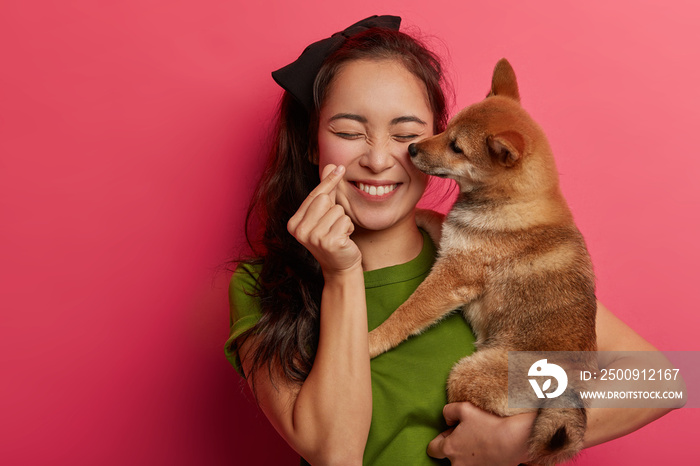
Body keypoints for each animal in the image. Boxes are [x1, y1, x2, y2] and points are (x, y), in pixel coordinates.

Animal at [372, 59, 596, 466]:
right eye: (446, 129)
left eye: (456, 147)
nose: (411, 147)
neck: (512, 202)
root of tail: (572, 391)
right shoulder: (453, 239)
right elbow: (437, 218)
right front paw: (418, 217)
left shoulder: (451, 277)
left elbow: (405, 316)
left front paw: (373, 341)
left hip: (466, 373)